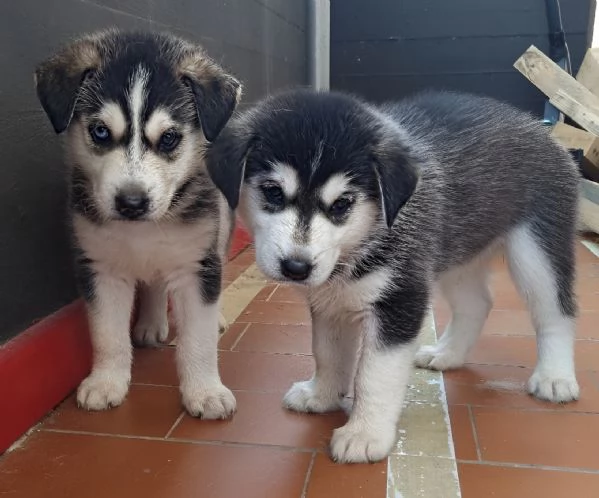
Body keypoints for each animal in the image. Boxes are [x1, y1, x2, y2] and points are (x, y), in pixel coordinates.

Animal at [34, 30, 241, 420]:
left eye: (170, 138)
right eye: (101, 132)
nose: (131, 203)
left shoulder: (196, 264)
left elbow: (199, 338)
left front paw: (205, 391)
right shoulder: (101, 267)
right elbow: (107, 333)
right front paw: (106, 382)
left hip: (219, 227)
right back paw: (150, 324)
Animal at [209, 88, 584, 462]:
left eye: (342, 204)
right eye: (272, 192)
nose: (297, 268)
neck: (361, 241)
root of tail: (539, 127)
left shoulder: (401, 298)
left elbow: (375, 375)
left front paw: (365, 433)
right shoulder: (331, 302)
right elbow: (327, 353)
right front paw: (322, 395)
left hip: (535, 250)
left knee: (555, 312)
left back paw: (554, 376)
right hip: (455, 251)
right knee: (477, 304)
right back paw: (447, 354)